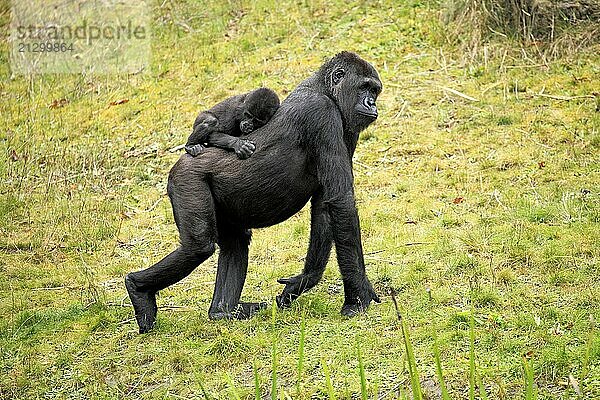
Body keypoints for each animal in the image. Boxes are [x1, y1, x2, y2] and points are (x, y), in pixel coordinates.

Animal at [125, 51, 384, 332]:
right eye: (364, 87)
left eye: (375, 91)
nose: (371, 104)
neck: (325, 89)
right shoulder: (321, 112)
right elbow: (340, 201)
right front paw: (358, 296)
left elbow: (326, 205)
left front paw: (304, 280)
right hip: (186, 178)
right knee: (198, 246)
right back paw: (139, 289)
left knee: (236, 242)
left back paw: (223, 311)